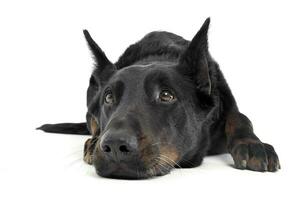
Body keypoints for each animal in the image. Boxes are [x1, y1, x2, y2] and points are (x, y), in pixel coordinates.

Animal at [37, 18, 278, 179]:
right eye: (109, 97)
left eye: (166, 95)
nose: (114, 146)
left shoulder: (227, 102)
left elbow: (240, 117)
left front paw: (252, 144)